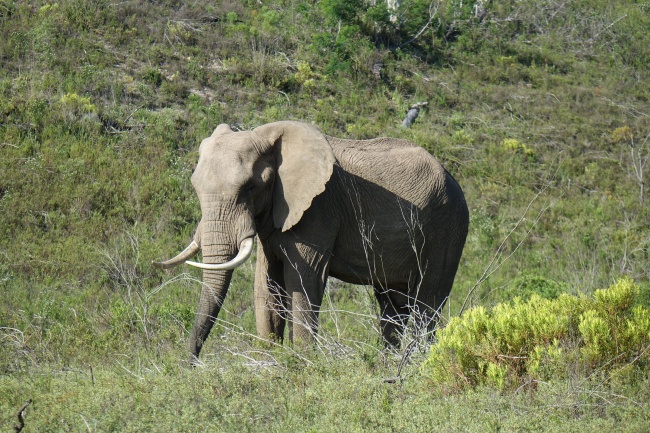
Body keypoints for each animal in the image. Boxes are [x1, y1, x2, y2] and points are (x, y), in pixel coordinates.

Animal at [153, 120, 466, 362]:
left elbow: (304, 280)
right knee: (392, 305)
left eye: (250, 188)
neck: (268, 136)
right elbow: (266, 284)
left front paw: (302, 363)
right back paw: (388, 362)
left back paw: (419, 361)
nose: (190, 364)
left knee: (427, 304)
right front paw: (269, 361)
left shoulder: (318, 209)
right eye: (195, 187)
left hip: (446, 231)